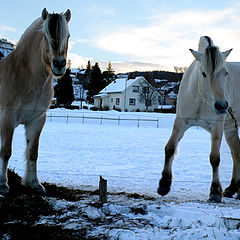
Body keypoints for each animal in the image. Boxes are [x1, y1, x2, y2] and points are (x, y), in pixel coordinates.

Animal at [0, 8, 71, 194]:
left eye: (68, 35)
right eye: (45, 36)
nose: (59, 65)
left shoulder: (37, 120)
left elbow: (33, 152)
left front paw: (34, 184)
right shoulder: (7, 119)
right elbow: (6, 152)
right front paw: (3, 184)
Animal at [158, 35, 240, 201]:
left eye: (226, 73)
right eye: (203, 73)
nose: (222, 106)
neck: (201, 99)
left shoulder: (217, 126)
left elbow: (215, 158)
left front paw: (215, 191)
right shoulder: (181, 122)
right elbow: (170, 147)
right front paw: (164, 185)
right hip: (231, 129)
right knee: (237, 154)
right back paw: (232, 188)